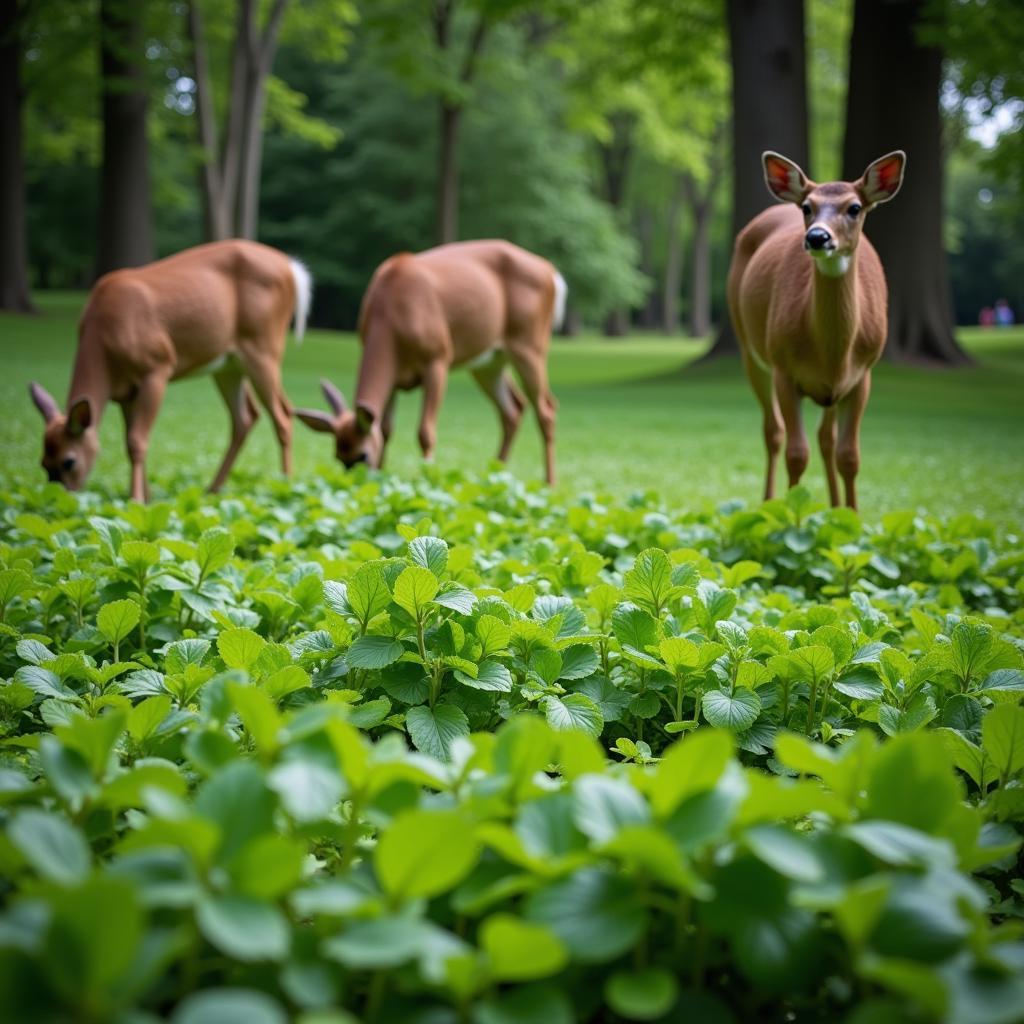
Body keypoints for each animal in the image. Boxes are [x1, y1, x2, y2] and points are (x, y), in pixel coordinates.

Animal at [29, 235, 309, 499]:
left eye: (69, 461)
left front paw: (136, 499)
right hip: (228, 365)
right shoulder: (125, 392)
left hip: (263, 346)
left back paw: (287, 486)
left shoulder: (157, 366)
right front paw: (146, 498)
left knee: (282, 415)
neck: (103, 340)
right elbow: (130, 441)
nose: (62, 496)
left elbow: (137, 441)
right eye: (43, 463)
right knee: (246, 416)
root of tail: (291, 267)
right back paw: (212, 490)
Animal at [296, 237, 569, 485]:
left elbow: (425, 432)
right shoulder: (394, 378)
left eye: (362, 455)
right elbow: (385, 430)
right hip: (489, 362)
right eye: (338, 457)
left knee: (546, 409)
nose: (356, 482)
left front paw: (427, 477)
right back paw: (493, 474)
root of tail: (551, 273)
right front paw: (383, 479)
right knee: (513, 408)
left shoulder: (438, 358)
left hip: (530, 344)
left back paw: (550, 483)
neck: (390, 316)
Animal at [729, 148, 905, 507]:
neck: (831, 351)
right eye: (807, 207)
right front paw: (790, 515)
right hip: (749, 348)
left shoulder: (862, 374)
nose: (817, 236)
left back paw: (834, 506)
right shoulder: (784, 368)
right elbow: (797, 453)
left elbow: (849, 456)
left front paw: (852, 516)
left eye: (855, 207)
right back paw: (767, 501)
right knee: (773, 432)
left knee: (826, 438)